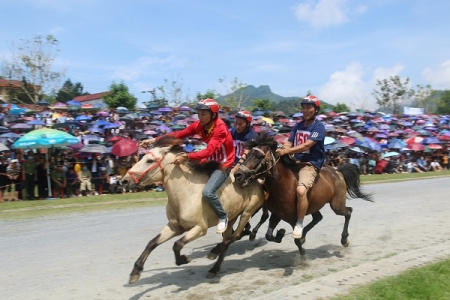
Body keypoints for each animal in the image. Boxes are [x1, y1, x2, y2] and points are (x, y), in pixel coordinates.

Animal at [121, 136, 266, 284]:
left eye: (149, 160)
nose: (124, 181)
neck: (186, 194)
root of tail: (256, 180)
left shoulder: (200, 229)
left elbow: (177, 244)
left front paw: (184, 259)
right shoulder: (174, 227)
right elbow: (152, 243)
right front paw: (135, 271)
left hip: (247, 212)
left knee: (235, 236)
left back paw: (214, 252)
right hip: (231, 218)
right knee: (228, 240)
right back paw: (214, 268)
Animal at [232, 135, 372, 254]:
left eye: (258, 156)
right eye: (248, 154)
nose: (238, 174)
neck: (284, 186)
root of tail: (338, 171)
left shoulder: (294, 218)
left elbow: (295, 238)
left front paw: (301, 252)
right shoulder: (277, 214)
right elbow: (269, 235)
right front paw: (281, 233)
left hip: (336, 204)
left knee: (348, 212)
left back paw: (344, 239)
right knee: (318, 218)